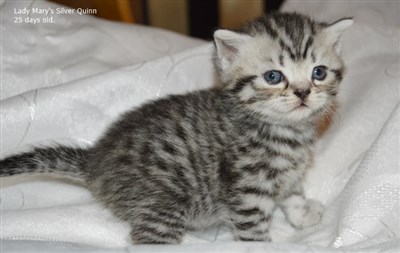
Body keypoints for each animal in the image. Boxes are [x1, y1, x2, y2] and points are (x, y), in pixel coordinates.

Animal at [0, 11, 352, 243]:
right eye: (274, 77)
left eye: (319, 72)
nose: (303, 92)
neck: (282, 130)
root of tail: (96, 160)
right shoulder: (246, 191)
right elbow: (253, 232)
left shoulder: (287, 174)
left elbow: (292, 192)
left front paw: (302, 213)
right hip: (164, 201)